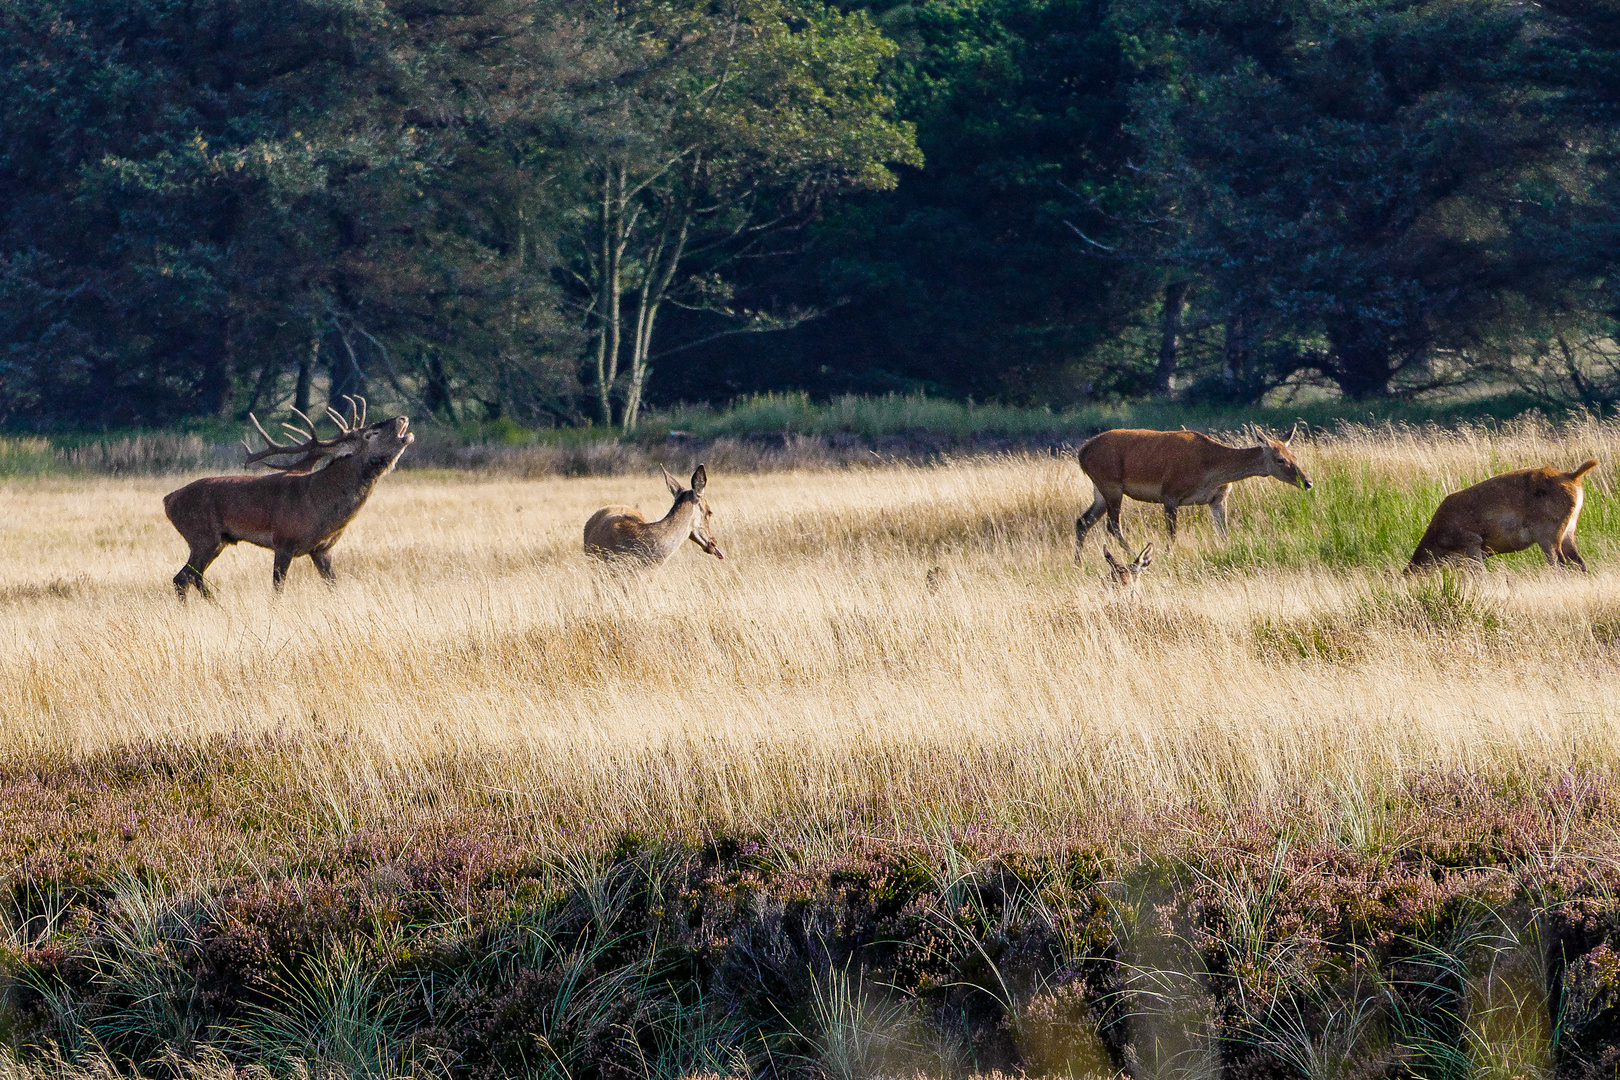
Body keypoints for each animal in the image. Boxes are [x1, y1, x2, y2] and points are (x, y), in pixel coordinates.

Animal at [162, 396, 414, 599]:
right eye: (371, 433)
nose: (402, 418)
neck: (320, 506)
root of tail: (168, 500)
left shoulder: (322, 549)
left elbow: (333, 586)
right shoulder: (284, 540)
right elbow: (277, 590)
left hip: (216, 541)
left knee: (190, 577)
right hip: (202, 536)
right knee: (183, 578)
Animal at [1075, 424, 1315, 557]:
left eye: (1294, 456)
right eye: (1280, 459)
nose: (1308, 482)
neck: (1209, 471)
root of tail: (1082, 451)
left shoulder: (1218, 499)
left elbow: (1224, 533)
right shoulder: (1169, 493)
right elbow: (1172, 535)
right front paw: (1167, 557)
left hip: (1100, 489)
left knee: (1083, 521)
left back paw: (1078, 562)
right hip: (1111, 483)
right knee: (1112, 524)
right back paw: (1135, 554)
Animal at [1406, 459, 1594, 573]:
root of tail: (1572, 477)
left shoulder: (1471, 541)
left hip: (1548, 533)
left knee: (1559, 563)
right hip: (1570, 529)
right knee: (1579, 563)